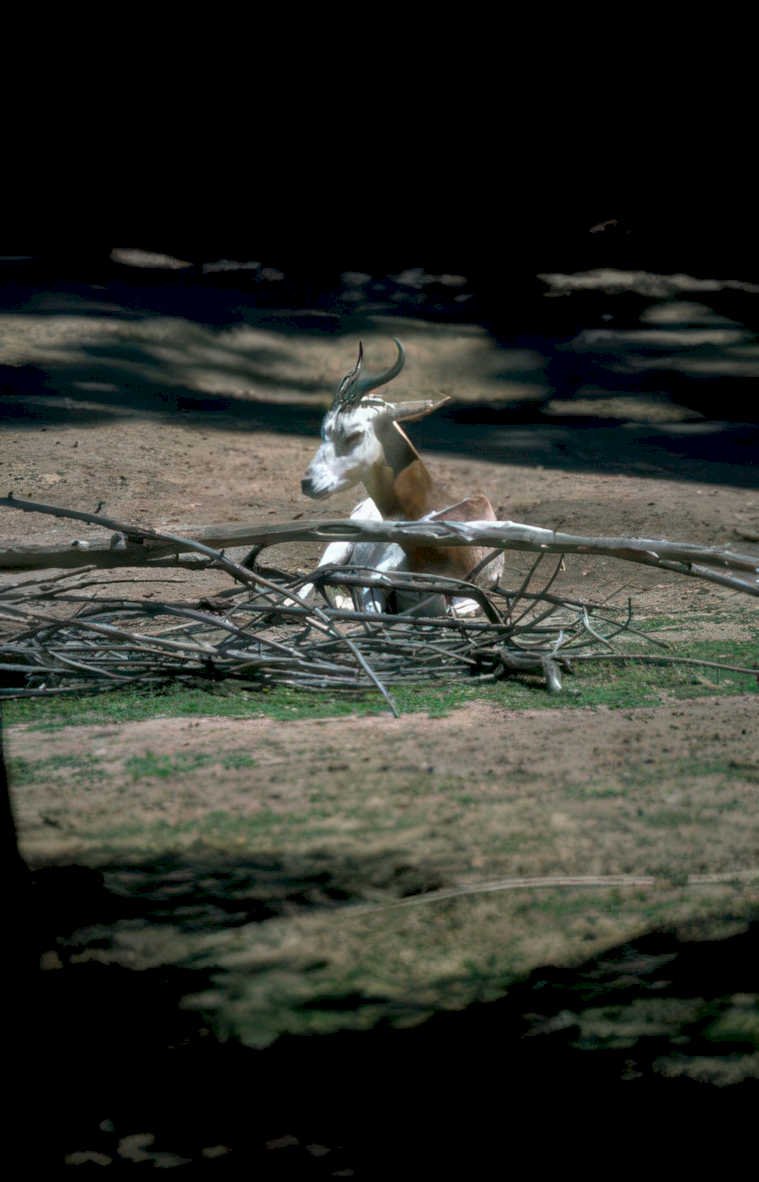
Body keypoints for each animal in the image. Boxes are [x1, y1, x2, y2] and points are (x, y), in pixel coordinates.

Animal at [301, 338, 503, 614]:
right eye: (324, 431)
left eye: (354, 434)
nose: (308, 483)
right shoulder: (373, 581)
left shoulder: (466, 603)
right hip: (336, 548)